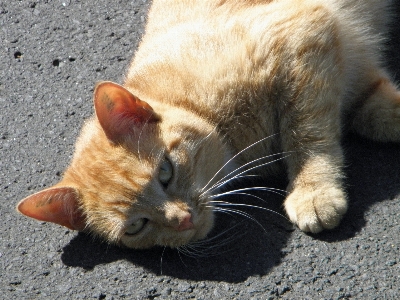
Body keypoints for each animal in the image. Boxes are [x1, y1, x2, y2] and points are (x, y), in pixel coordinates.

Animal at [17, 0, 400, 248]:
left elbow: (306, 134)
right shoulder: (348, 75)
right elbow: (374, 113)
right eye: (135, 227)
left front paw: (313, 190)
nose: (183, 219)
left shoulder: (302, 38)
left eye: (166, 172)